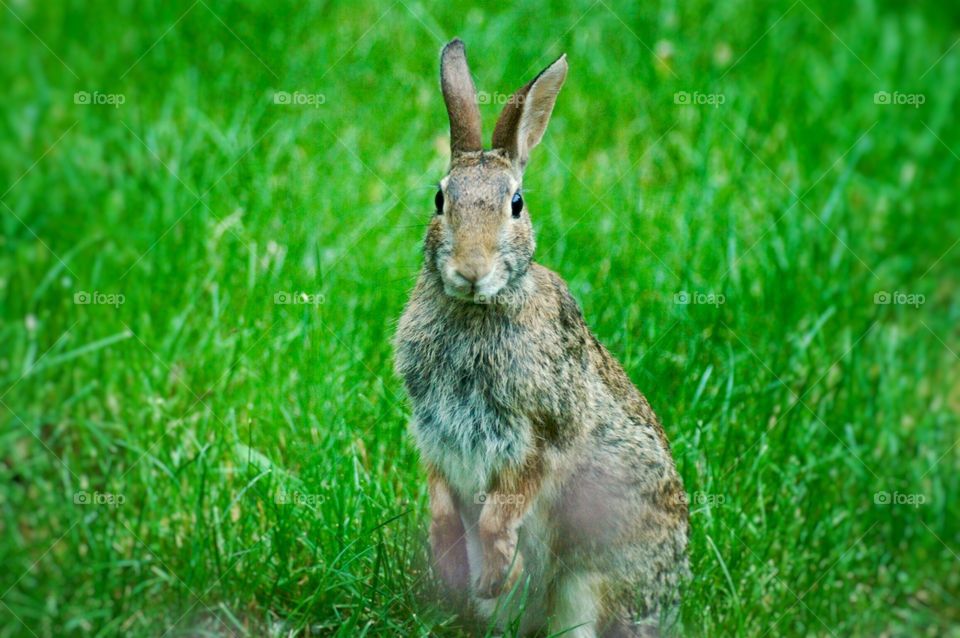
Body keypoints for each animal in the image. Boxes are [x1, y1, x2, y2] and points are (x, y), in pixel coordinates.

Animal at [394, 39, 689, 637]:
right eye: (440, 199)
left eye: (516, 204)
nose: (471, 270)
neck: (477, 308)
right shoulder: (433, 432)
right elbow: (440, 497)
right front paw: (449, 552)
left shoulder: (541, 434)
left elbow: (507, 505)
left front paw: (496, 565)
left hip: (591, 586)